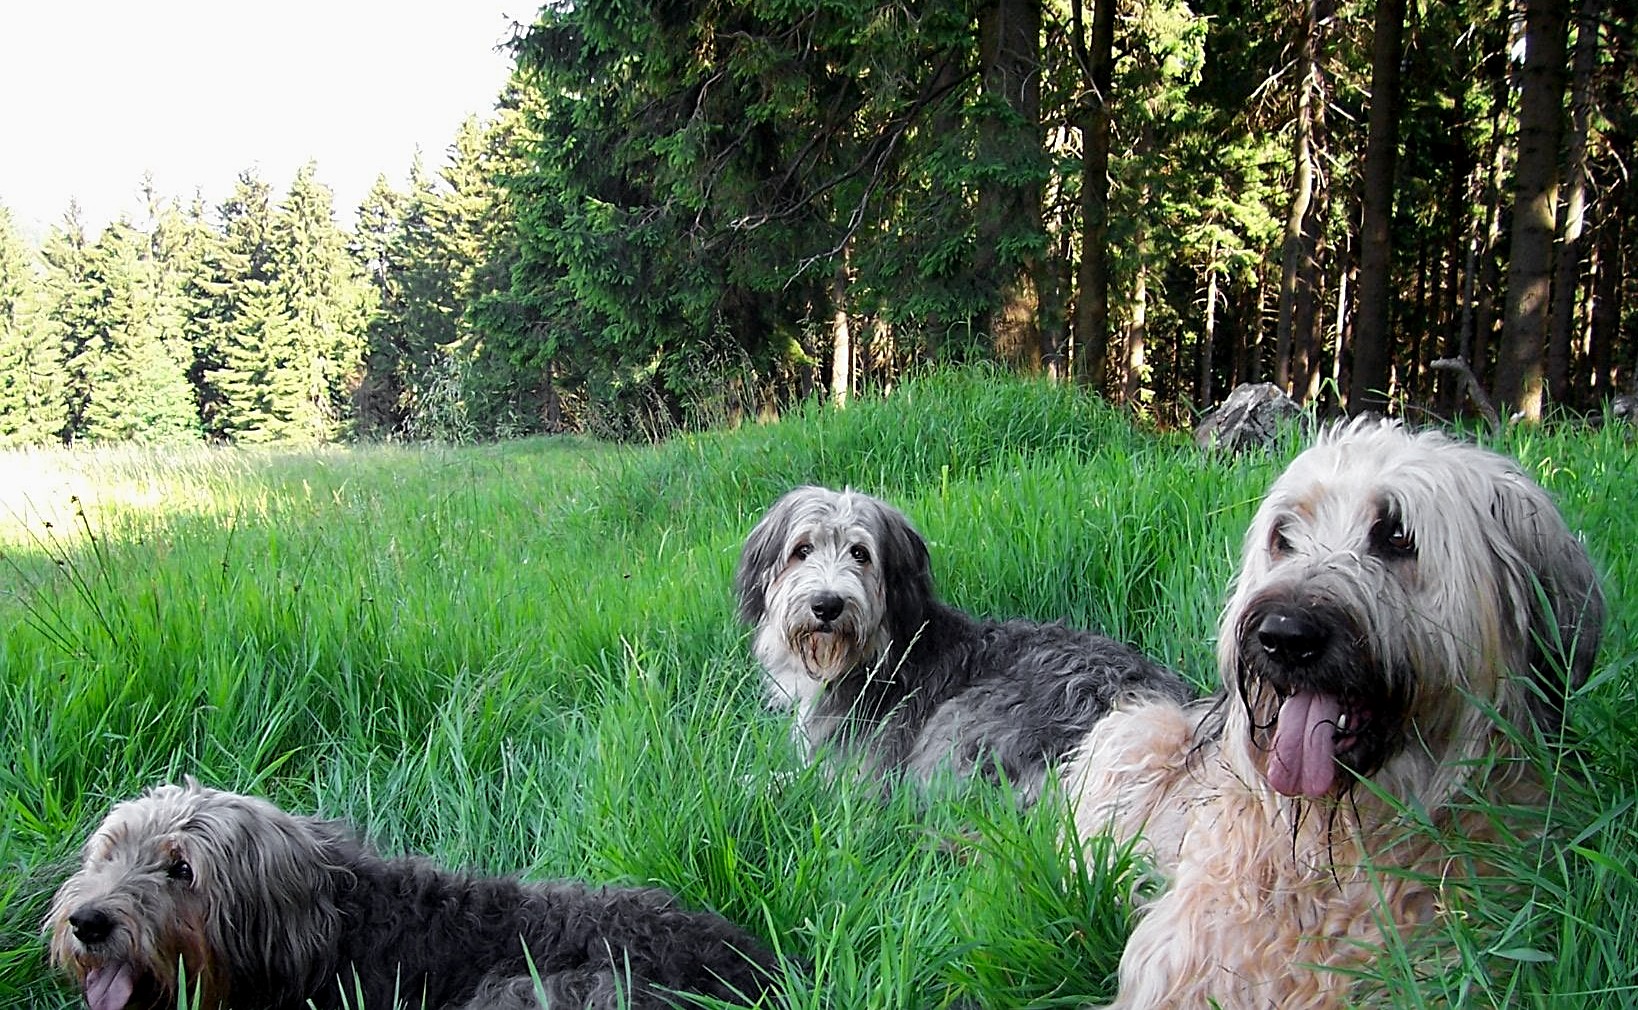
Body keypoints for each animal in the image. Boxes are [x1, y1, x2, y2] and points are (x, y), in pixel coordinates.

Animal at [733, 484, 1192, 798]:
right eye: (802, 550)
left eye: (860, 553)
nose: (827, 605)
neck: (878, 657)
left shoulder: (859, 774)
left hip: (962, 724)